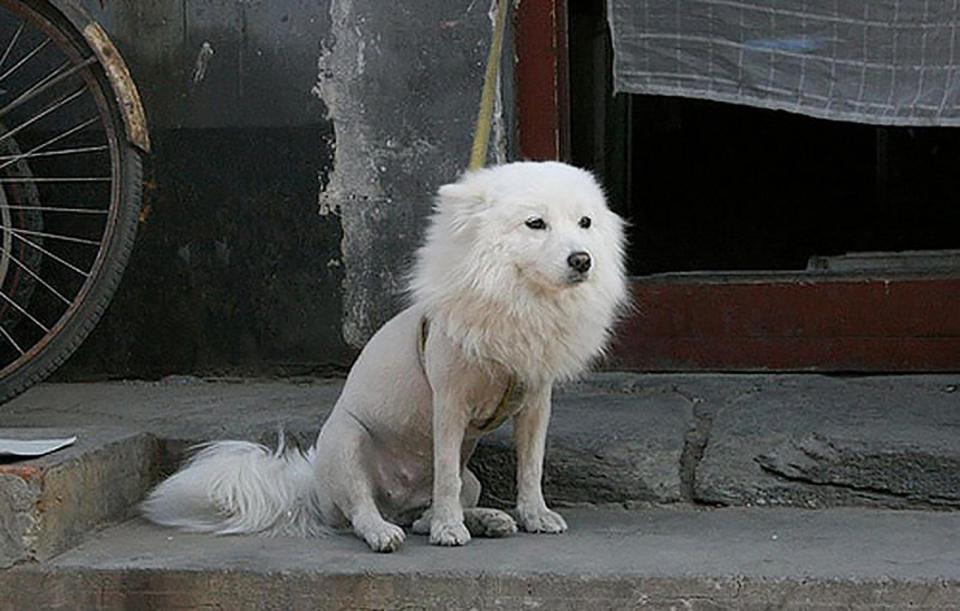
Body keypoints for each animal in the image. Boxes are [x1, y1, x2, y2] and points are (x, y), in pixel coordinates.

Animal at [141, 161, 628, 552]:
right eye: (535, 224)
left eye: (585, 222)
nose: (582, 260)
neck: (519, 299)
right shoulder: (449, 405)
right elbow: (446, 475)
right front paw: (450, 531)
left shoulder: (535, 404)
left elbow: (530, 467)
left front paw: (534, 515)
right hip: (346, 442)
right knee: (362, 512)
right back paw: (388, 532)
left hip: (468, 479)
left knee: (423, 513)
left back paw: (484, 518)